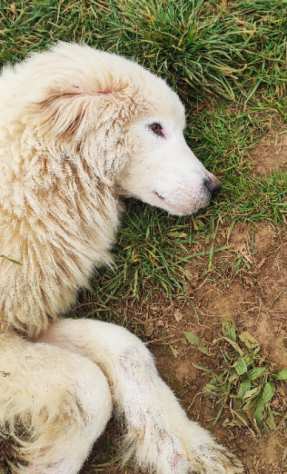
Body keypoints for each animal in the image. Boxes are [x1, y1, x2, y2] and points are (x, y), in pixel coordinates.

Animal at [0, 42, 243, 472]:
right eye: (156, 128)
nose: (213, 187)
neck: (27, 185)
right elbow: (89, 387)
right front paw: (52, 458)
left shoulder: (27, 319)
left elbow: (124, 347)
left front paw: (182, 447)